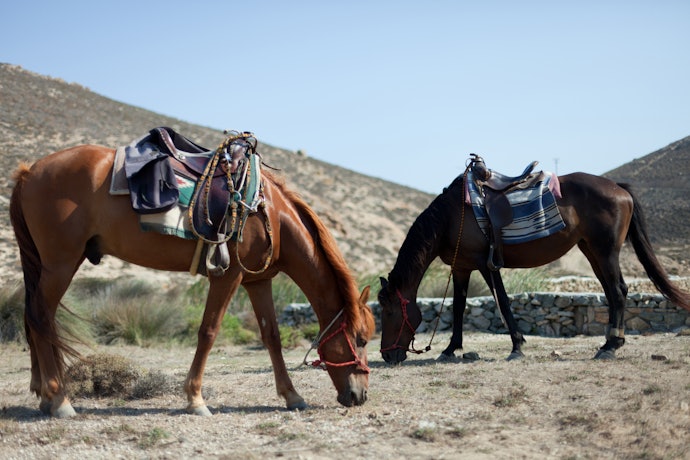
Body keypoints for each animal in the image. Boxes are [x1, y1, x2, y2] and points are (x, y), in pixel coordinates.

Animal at [9, 142, 375, 418]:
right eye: (360, 339)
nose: (360, 396)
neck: (269, 214)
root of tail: (29, 171)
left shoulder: (257, 281)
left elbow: (271, 336)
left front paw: (292, 395)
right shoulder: (227, 276)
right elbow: (209, 332)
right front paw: (196, 399)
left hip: (49, 265)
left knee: (35, 319)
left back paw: (44, 395)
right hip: (60, 264)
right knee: (40, 318)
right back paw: (59, 400)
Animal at [378, 162, 690, 365]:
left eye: (390, 312)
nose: (387, 355)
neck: (452, 218)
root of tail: (619, 188)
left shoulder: (486, 264)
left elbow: (503, 302)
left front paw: (517, 346)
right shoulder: (461, 267)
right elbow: (458, 307)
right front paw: (450, 349)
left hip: (606, 251)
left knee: (618, 290)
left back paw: (611, 347)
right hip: (592, 251)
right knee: (613, 292)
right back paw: (608, 343)